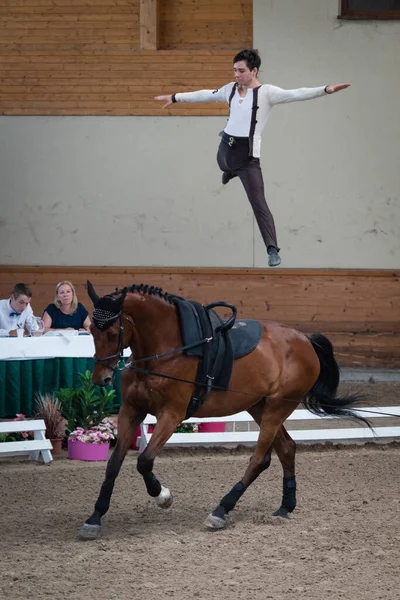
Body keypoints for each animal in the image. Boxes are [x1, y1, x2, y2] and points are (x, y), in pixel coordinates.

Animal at [79, 282, 370, 540]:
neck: (165, 348)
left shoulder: (171, 414)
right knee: (286, 449)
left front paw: (163, 497)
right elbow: (114, 464)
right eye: (91, 329)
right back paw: (285, 507)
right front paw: (94, 518)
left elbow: (144, 460)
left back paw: (220, 510)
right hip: (258, 406)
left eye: (113, 331)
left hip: (278, 407)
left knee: (260, 459)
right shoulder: (132, 410)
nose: (101, 378)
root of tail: (305, 340)